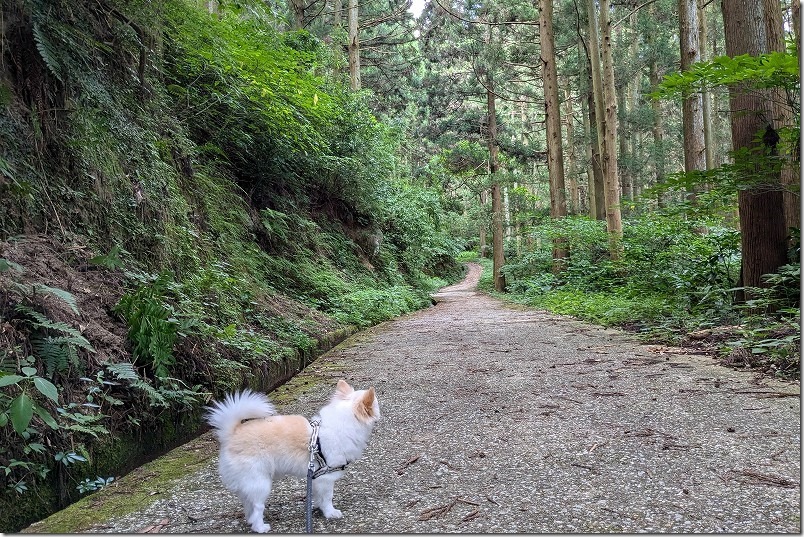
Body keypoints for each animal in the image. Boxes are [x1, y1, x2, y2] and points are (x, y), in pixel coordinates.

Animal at [204, 378, 380, 528]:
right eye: (376, 405)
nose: (381, 410)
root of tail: (231, 434)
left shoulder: (316, 477)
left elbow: (318, 496)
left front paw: (318, 508)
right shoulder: (326, 478)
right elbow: (327, 498)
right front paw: (330, 513)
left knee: (249, 505)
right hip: (260, 483)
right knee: (257, 506)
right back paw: (261, 527)